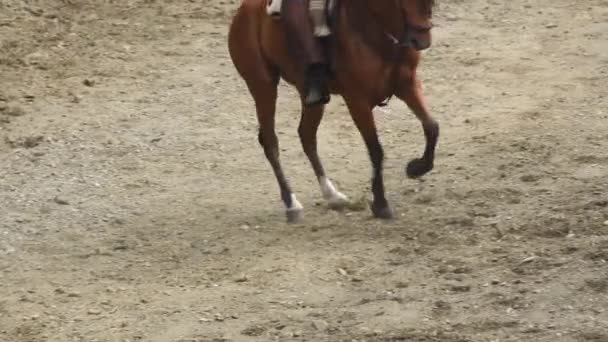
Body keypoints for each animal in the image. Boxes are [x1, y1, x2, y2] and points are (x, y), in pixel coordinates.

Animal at [227, 0, 436, 223]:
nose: (421, 41)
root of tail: (243, 11)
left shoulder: (407, 85)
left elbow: (432, 126)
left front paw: (417, 167)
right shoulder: (357, 100)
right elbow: (375, 150)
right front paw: (381, 204)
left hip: (309, 94)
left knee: (307, 135)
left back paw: (332, 195)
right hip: (262, 85)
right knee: (270, 141)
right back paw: (292, 204)